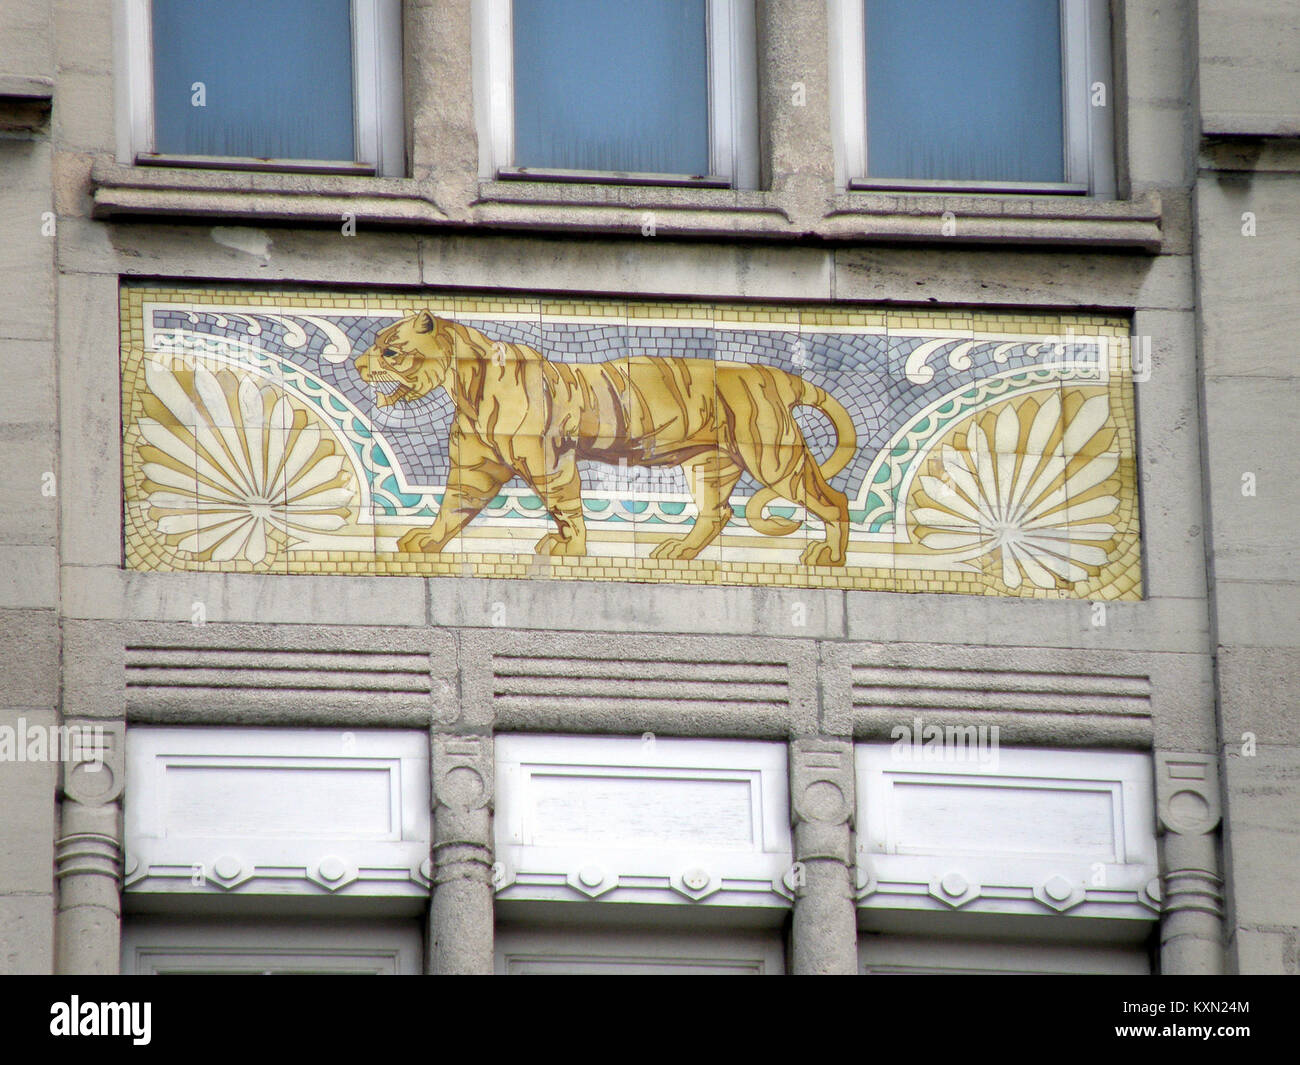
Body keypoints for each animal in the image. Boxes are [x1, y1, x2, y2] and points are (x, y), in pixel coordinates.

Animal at [356, 308, 857, 566]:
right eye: (374, 345)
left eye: (390, 350)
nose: (359, 366)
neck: (464, 383)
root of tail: (771, 373)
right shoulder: (475, 468)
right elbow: (452, 508)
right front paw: (426, 543)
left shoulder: (548, 462)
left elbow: (566, 508)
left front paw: (571, 550)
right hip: (710, 464)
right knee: (717, 512)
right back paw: (677, 552)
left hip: (772, 457)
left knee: (833, 499)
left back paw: (829, 557)